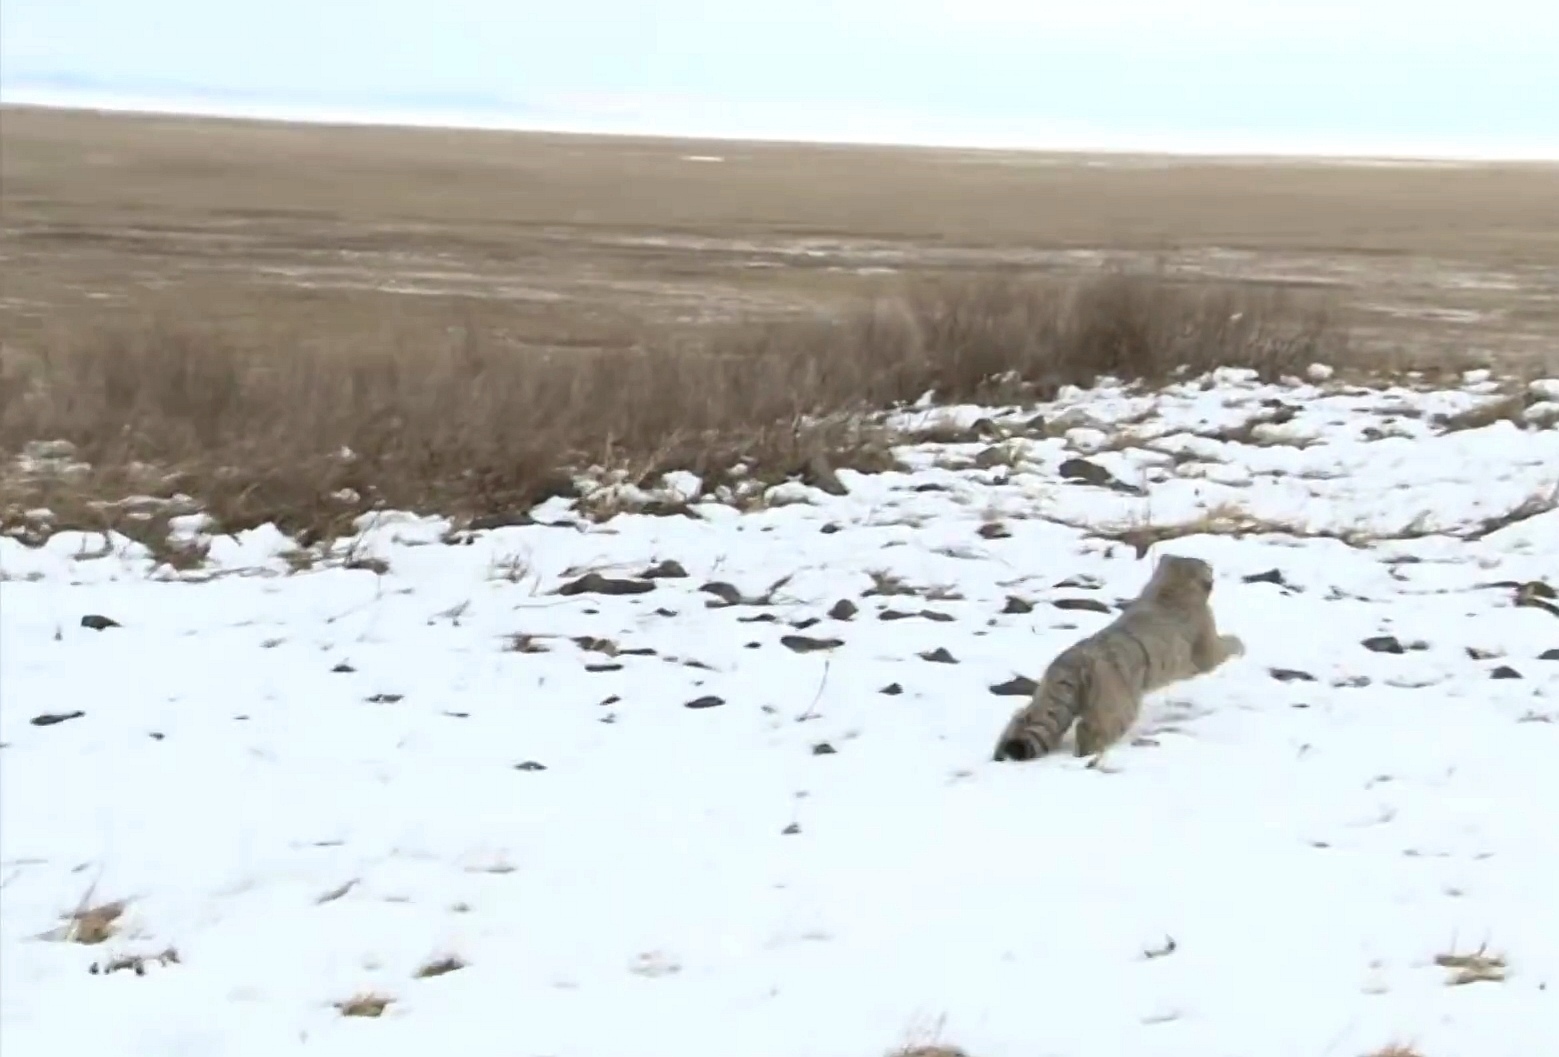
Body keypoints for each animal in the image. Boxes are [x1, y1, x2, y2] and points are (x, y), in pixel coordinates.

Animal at [997, 555, 1240, 760]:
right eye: (1206, 566)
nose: (1212, 568)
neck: (1168, 588)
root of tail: (1070, 664)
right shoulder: (1207, 650)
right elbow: (1230, 644)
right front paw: (1240, 644)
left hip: (1048, 700)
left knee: (1023, 720)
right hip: (1117, 704)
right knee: (1092, 729)